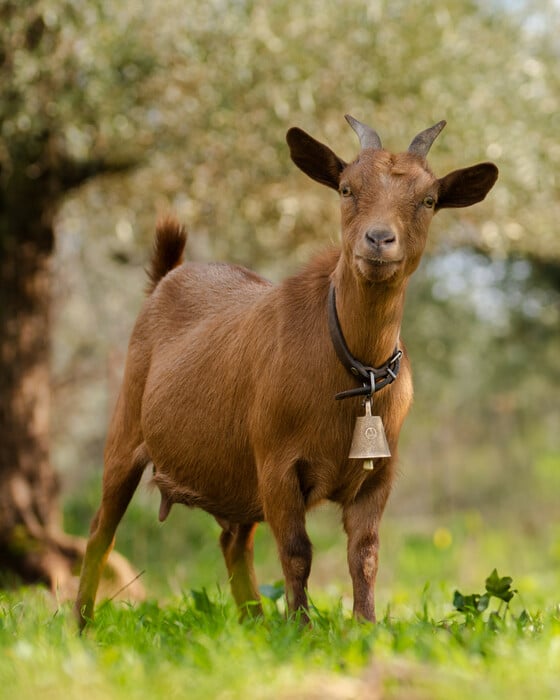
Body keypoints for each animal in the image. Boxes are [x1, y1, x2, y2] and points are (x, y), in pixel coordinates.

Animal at [74, 116, 498, 628]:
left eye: (429, 199)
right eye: (346, 188)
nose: (378, 240)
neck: (352, 371)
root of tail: (165, 278)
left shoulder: (379, 474)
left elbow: (365, 554)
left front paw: (365, 626)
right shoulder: (277, 464)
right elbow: (297, 551)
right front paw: (301, 629)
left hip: (238, 478)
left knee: (233, 542)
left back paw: (253, 624)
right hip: (126, 429)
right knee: (101, 531)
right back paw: (81, 625)